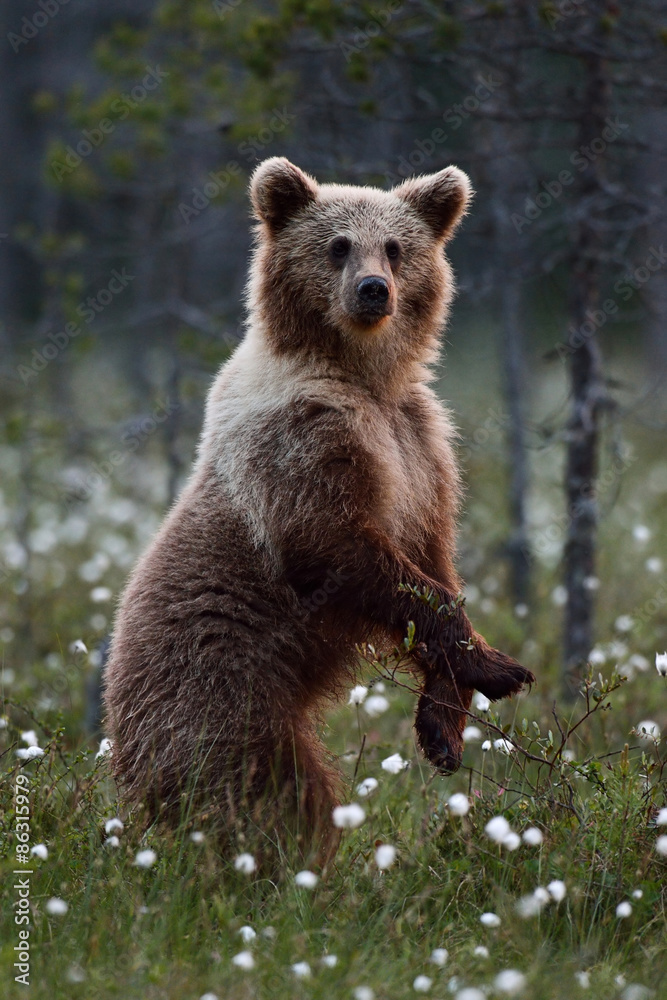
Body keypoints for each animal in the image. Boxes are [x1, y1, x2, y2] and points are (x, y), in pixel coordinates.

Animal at [103, 156, 534, 865]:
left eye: (396, 247)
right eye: (337, 245)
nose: (373, 290)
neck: (364, 378)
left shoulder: (421, 448)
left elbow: (436, 564)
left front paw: (443, 727)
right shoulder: (303, 441)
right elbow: (341, 547)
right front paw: (501, 668)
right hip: (217, 689)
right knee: (263, 790)